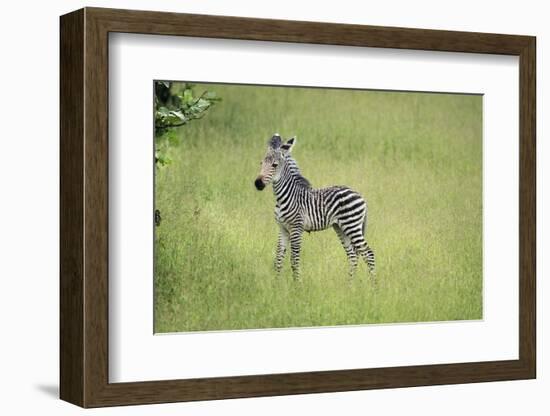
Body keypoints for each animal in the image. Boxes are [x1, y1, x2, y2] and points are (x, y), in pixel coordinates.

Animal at [256, 135, 378, 282]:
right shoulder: (283, 229)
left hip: (352, 225)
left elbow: (294, 260)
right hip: (341, 227)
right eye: (261, 163)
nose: (257, 184)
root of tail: (360, 196)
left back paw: (373, 286)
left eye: (274, 165)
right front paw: (276, 283)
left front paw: (297, 284)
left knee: (368, 253)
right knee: (353, 255)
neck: (284, 196)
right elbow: (278, 259)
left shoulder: (296, 228)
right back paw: (349, 285)